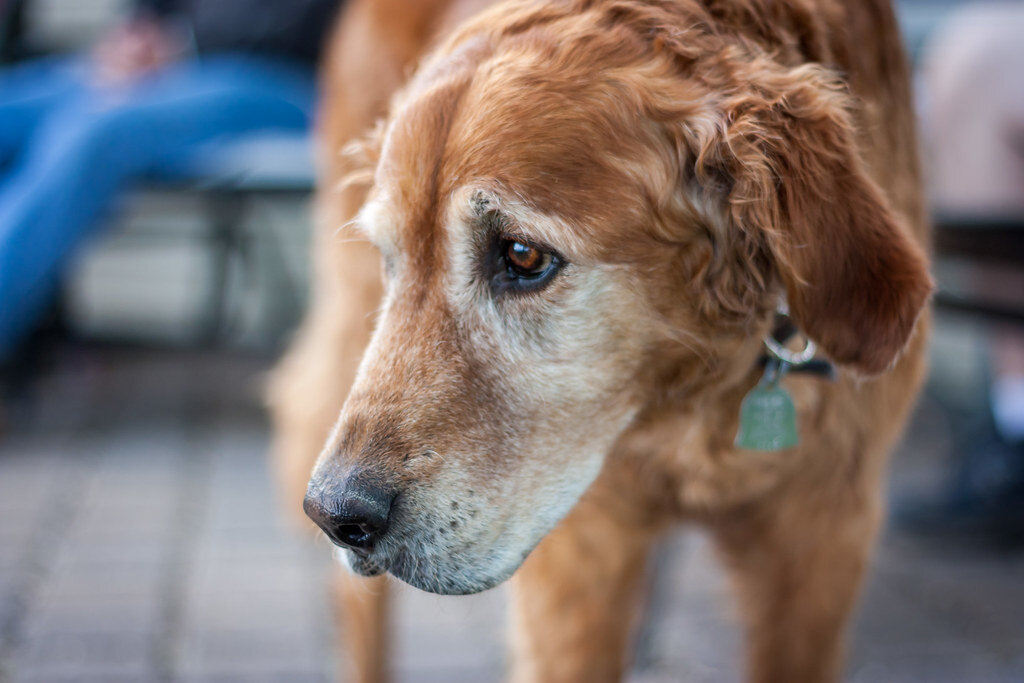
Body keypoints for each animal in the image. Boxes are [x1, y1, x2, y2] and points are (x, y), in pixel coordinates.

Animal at [268, 0, 933, 679]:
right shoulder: (581, 558)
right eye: (391, 259)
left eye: (524, 255)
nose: (334, 515)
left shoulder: (822, 539)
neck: (684, 395)